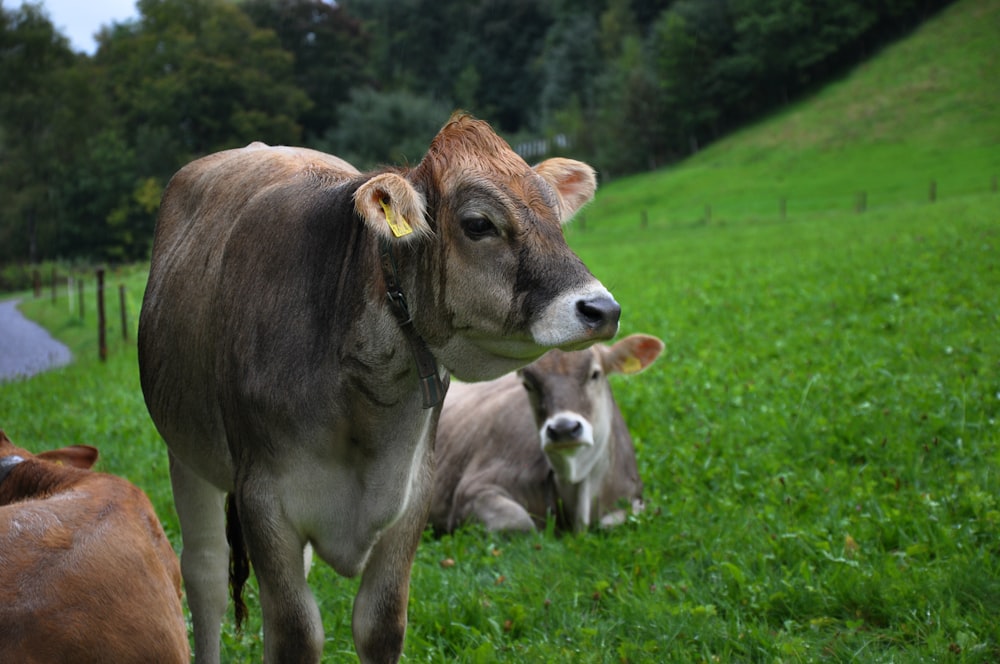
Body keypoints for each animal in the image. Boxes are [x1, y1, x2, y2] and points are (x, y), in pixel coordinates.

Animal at [137, 111, 620, 660]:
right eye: (478, 224)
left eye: (556, 217)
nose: (601, 309)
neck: (363, 405)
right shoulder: (261, 497)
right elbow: (295, 633)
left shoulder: (413, 492)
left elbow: (380, 624)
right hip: (184, 453)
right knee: (205, 576)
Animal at [430, 332, 664, 536]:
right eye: (528, 384)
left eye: (595, 374)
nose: (564, 428)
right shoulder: (473, 490)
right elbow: (520, 522)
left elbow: (617, 520)